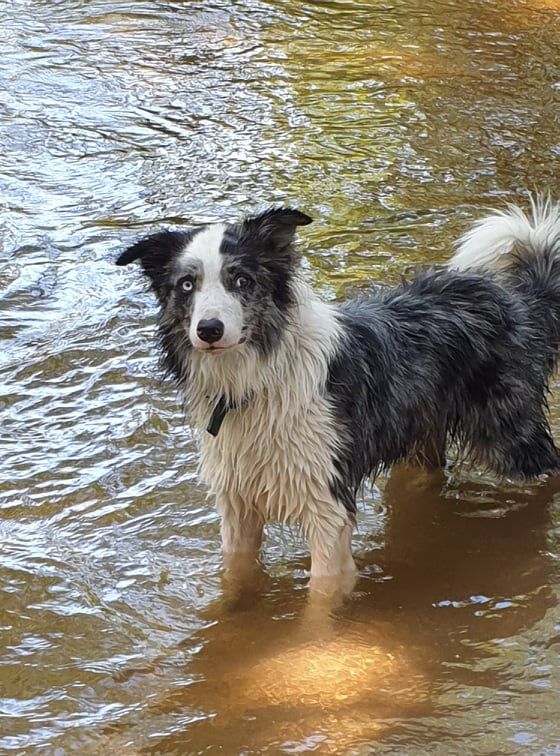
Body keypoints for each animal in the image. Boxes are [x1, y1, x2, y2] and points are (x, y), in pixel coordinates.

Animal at [117, 198, 560, 588]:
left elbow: (321, 602)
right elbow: (236, 575)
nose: (209, 329)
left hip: (508, 436)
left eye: (241, 280)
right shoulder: (237, 504)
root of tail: (518, 301)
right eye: (186, 285)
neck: (256, 381)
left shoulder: (326, 503)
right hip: (420, 434)